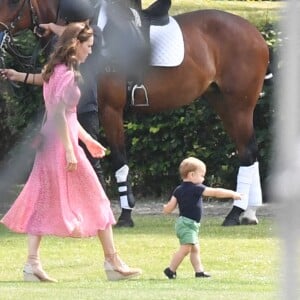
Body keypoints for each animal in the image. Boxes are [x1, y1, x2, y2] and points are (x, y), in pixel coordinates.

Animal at [0, 0, 270, 227]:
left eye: (13, 2)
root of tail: (256, 33)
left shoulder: (110, 110)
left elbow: (119, 160)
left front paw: (125, 215)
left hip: (239, 106)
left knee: (247, 153)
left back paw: (235, 214)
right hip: (223, 103)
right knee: (249, 152)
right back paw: (248, 213)